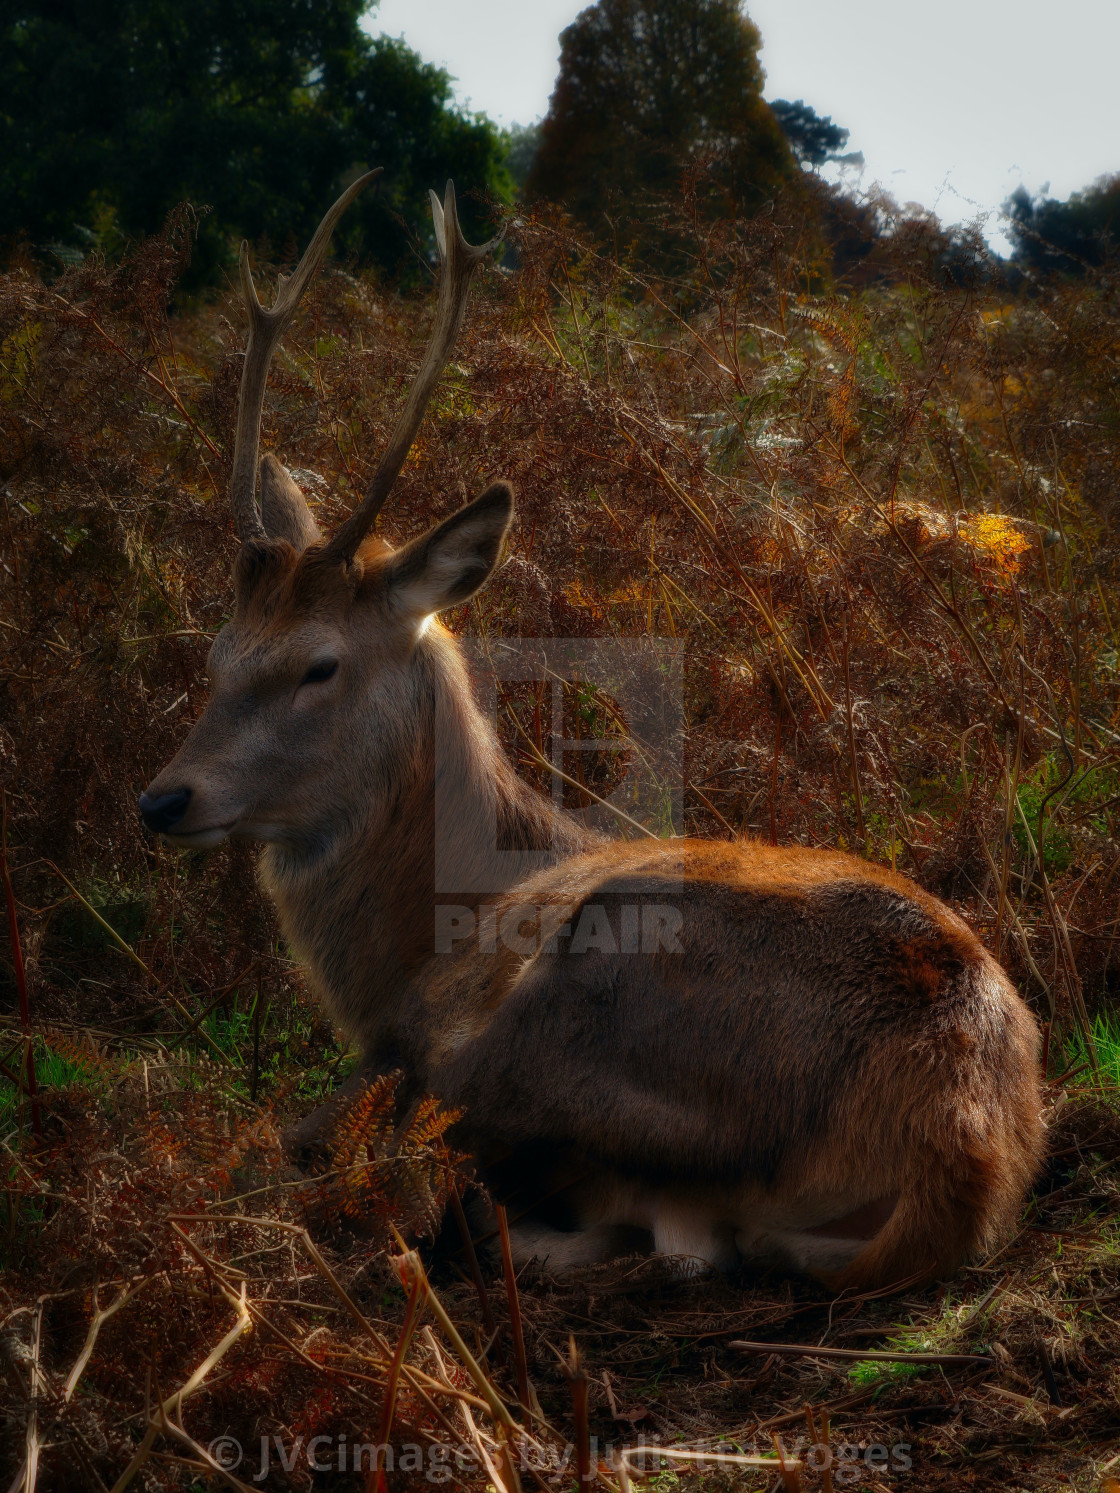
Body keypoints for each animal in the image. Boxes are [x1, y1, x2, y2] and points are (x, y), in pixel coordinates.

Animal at [138, 174, 1045, 1289]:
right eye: (217, 649)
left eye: (319, 663)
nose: (165, 798)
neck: (409, 937)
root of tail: (960, 1140)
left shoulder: (403, 1043)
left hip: (547, 1022)